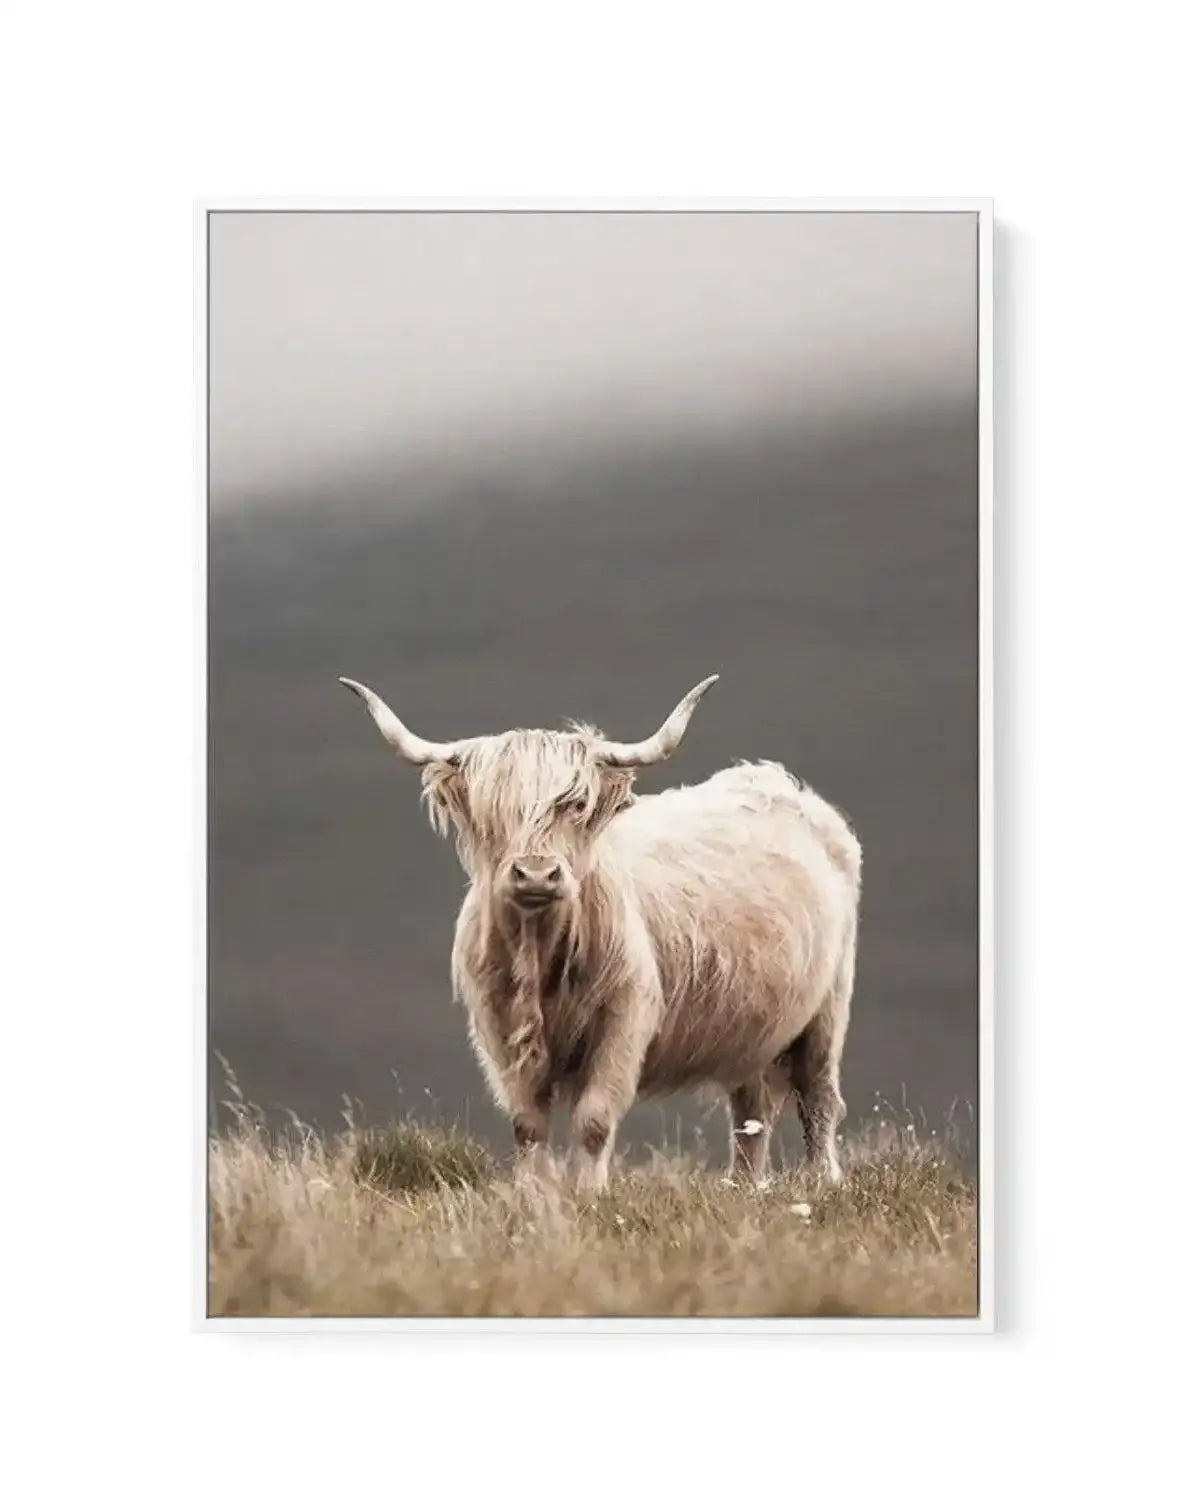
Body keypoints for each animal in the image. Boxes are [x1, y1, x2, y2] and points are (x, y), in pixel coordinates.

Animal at [340, 673, 861, 1193]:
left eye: (575, 804)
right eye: (493, 811)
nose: (536, 874)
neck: (541, 957)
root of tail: (774, 781)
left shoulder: (624, 1020)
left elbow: (594, 1119)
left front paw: (590, 1194)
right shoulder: (500, 1028)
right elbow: (527, 1124)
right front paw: (533, 1194)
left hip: (829, 1006)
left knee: (818, 1097)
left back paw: (823, 1181)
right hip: (750, 1028)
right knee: (751, 1112)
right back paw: (743, 1188)